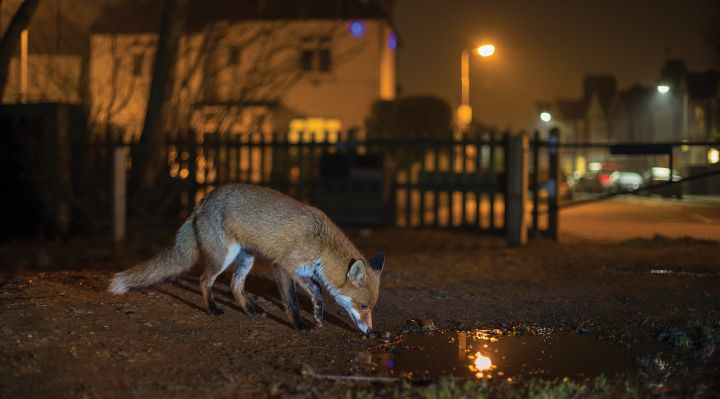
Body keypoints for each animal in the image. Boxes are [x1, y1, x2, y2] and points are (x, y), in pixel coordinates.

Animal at [106, 184, 382, 334]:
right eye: (363, 306)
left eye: (370, 307)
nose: (371, 331)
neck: (322, 245)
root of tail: (202, 201)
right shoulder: (282, 266)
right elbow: (292, 302)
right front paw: (299, 324)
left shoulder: (303, 271)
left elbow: (317, 292)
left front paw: (318, 316)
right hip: (223, 258)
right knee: (204, 280)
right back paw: (213, 309)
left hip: (246, 259)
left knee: (235, 285)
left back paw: (250, 309)